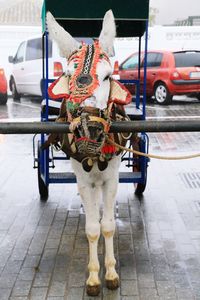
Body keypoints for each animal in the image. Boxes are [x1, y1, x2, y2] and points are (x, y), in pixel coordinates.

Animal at [46, 10, 132, 296]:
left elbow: (108, 226)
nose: (89, 130)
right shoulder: (84, 181)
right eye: (68, 76)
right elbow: (93, 228)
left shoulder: (111, 178)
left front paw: (112, 274)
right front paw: (94, 278)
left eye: (107, 77)